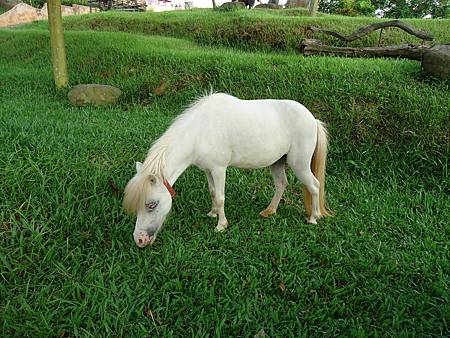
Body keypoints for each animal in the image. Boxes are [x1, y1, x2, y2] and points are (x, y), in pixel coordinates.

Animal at [123, 93, 330, 247]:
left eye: (152, 204)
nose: (139, 240)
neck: (200, 131)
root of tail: (313, 119)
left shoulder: (219, 169)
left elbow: (221, 196)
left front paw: (221, 225)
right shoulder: (207, 170)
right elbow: (213, 192)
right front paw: (213, 213)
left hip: (300, 164)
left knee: (314, 186)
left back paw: (314, 217)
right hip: (278, 162)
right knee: (281, 184)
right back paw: (269, 211)